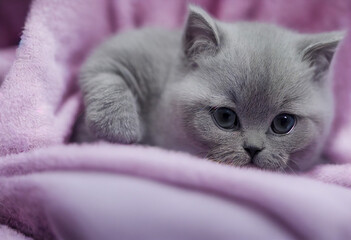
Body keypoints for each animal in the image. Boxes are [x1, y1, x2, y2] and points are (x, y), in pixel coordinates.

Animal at [73, 5, 346, 171]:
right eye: (225, 117)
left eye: (283, 123)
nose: (253, 148)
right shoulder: (121, 52)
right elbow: (105, 74)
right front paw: (121, 130)